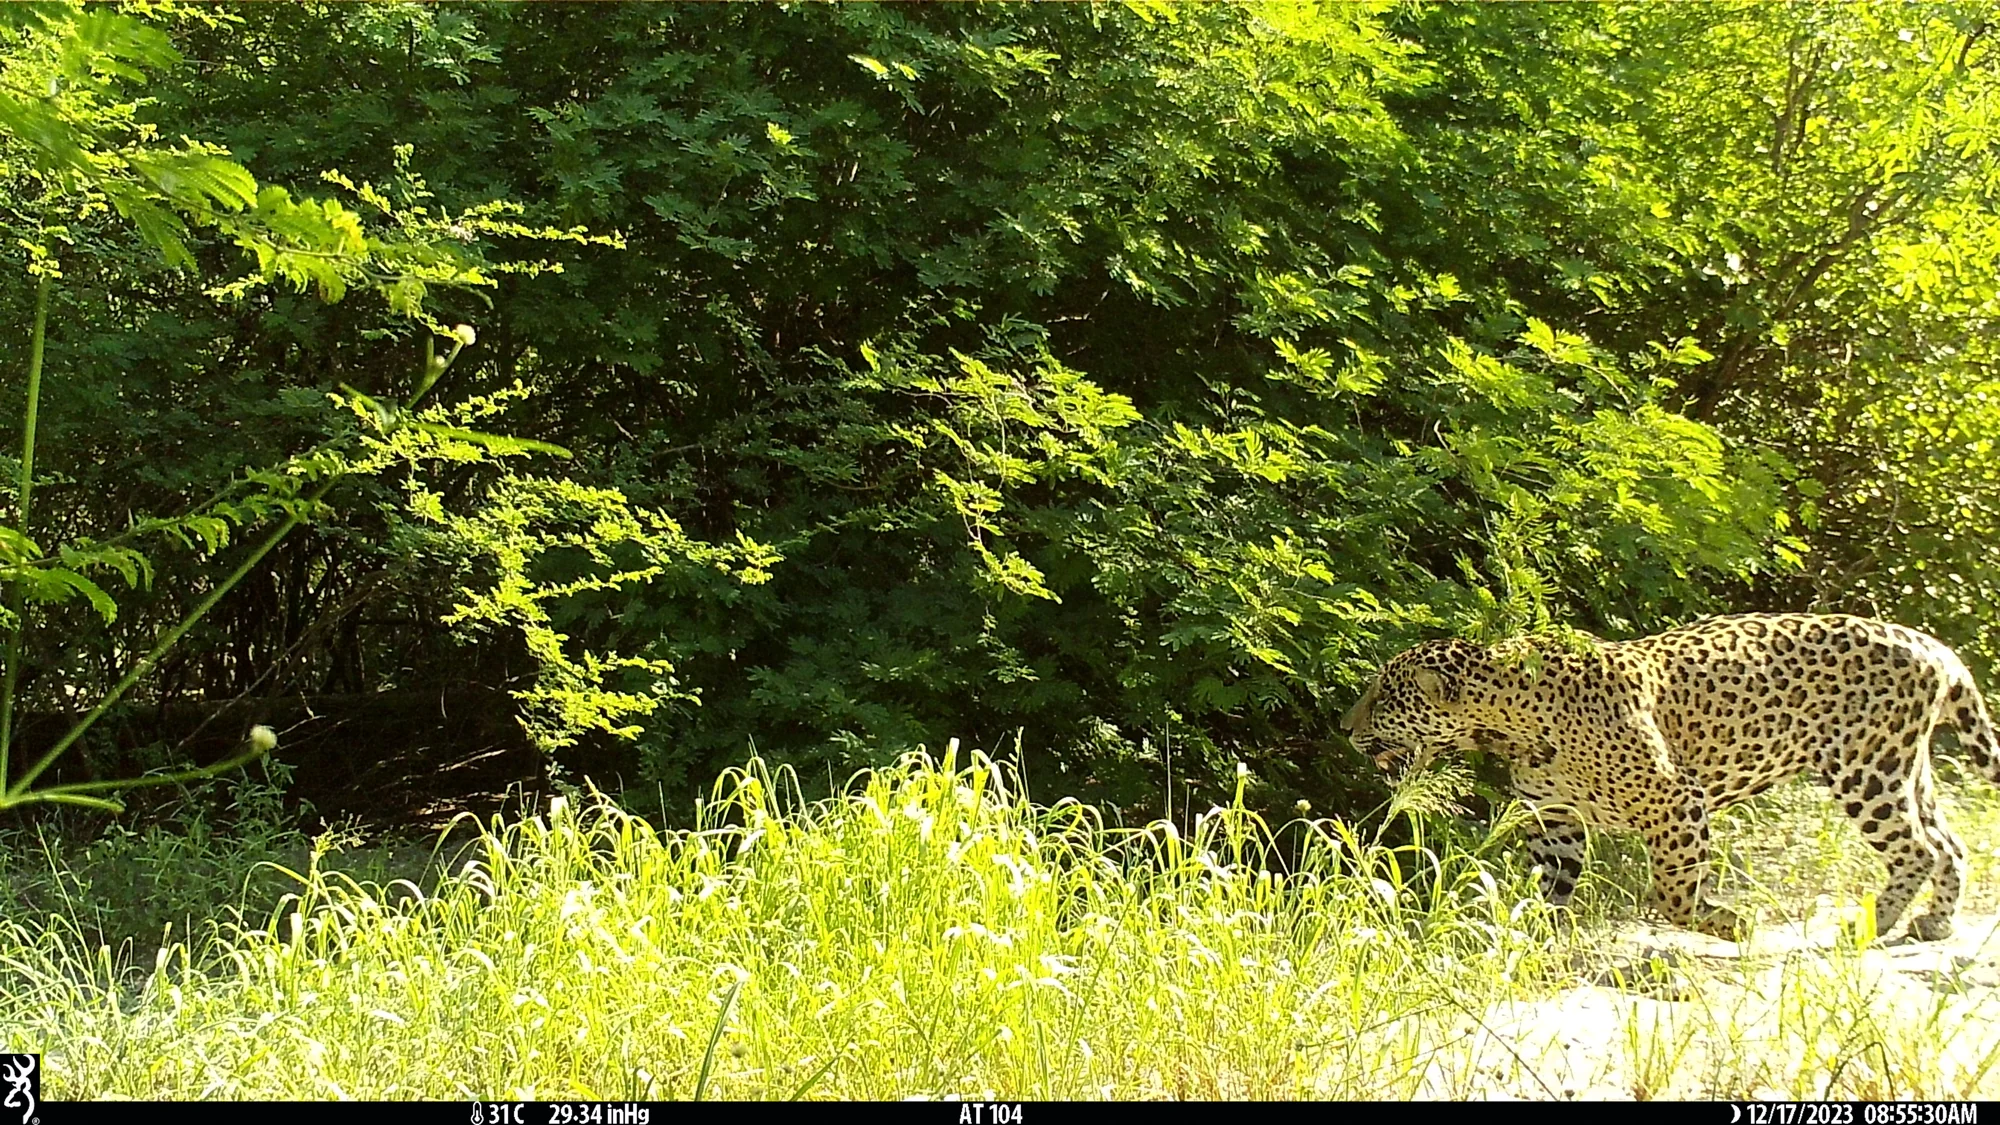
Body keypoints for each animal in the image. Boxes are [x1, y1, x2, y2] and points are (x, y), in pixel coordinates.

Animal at [1341, 613, 2000, 942]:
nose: (1345, 728)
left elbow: (1673, 892)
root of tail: (1936, 647)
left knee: (1917, 849)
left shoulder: (1677, 800)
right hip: (1906, 769)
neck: (1510, 720)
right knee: (1948, 843)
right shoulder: (1555, 820)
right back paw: (1935, 923)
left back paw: (1868, 926)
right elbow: (1550, 886)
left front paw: (1726, 923)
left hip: (1867, 769)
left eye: (1382, 697)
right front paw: (1535, 936)